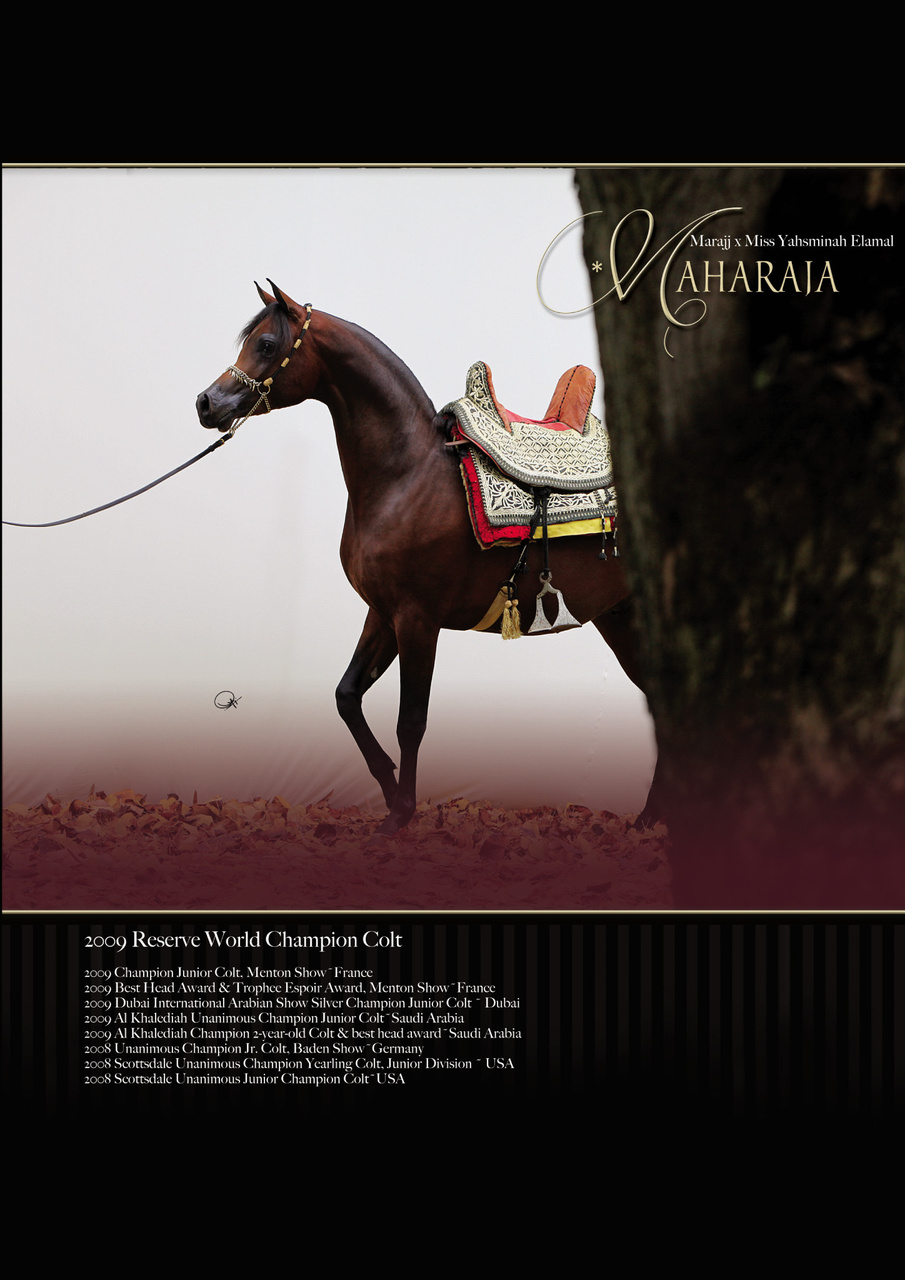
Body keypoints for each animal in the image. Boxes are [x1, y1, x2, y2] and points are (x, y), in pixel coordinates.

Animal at [196, 281, 652, 835]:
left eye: (265, 344)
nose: (206, 403)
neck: (406, 473)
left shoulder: (418, 620)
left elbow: (410, 720)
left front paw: (404, 812)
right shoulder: (382, 614)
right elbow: (346, 696)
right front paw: (391, 792)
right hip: (620, 618)